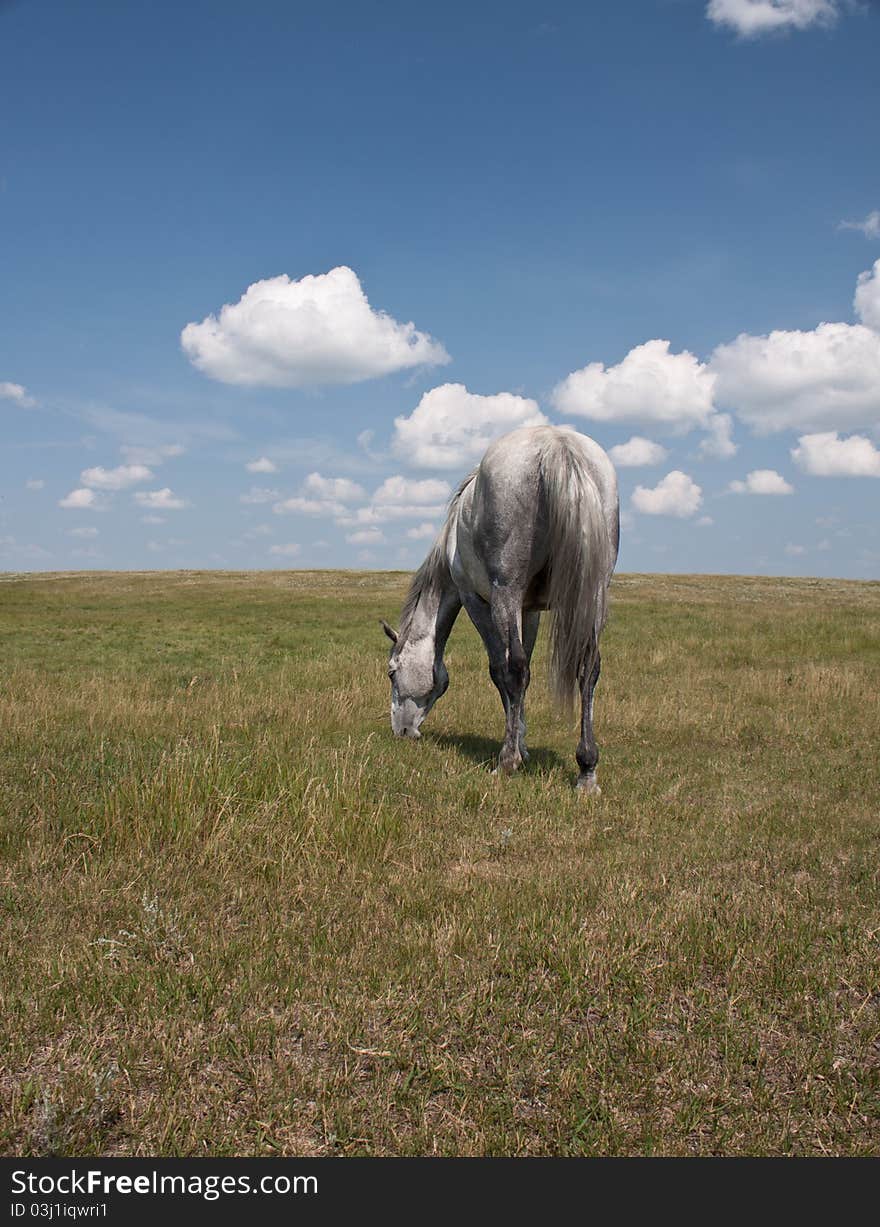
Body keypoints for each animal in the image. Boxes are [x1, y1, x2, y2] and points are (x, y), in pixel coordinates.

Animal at [380, 426, 621, 795]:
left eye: (392, 672)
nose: (402, 731)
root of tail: (556, 443)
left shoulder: (476, 600)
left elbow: (501, 671)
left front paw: (514, 751)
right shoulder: (529, 610)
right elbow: (528, 676)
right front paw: (522, 742)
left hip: (505, 592)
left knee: (514, 669)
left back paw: (505, 762)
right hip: (594, 594)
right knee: (588, 668)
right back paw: (586, 770)